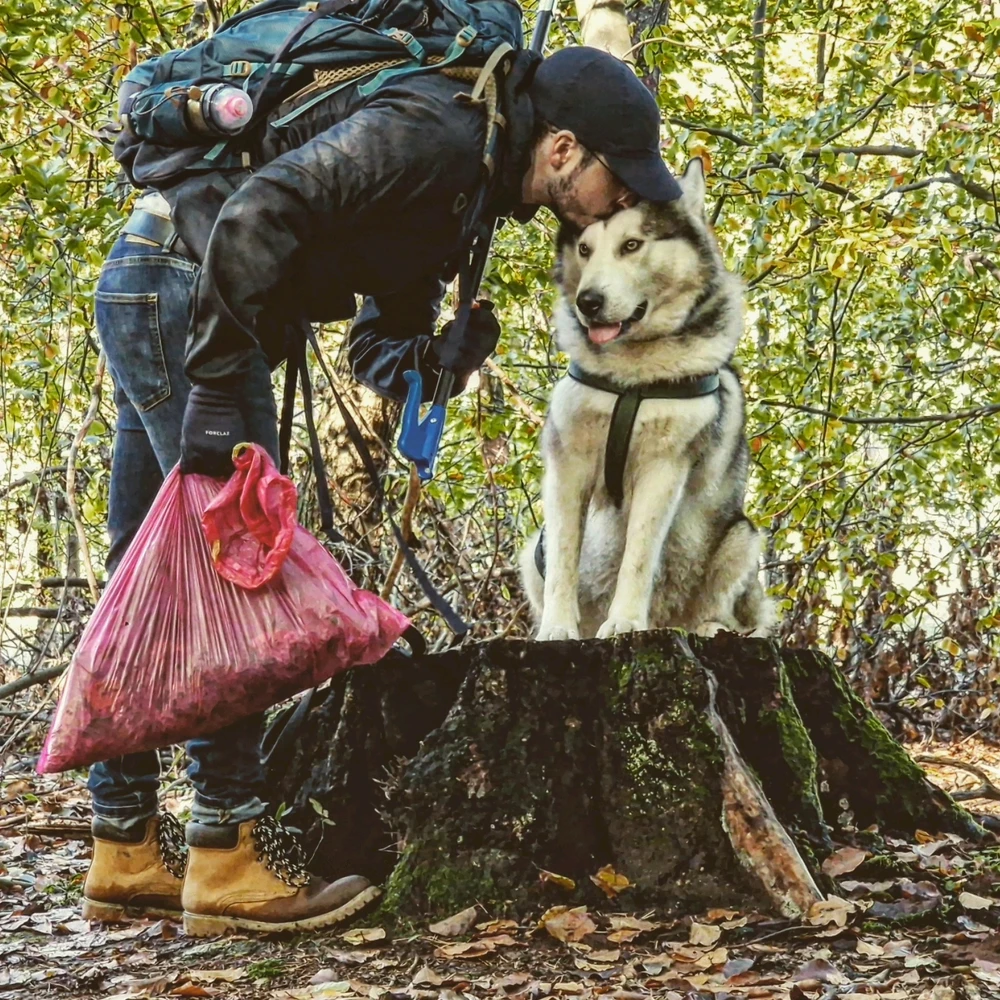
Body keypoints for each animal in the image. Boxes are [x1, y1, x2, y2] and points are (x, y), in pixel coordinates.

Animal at [520, 159, 774, 641]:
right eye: (585, 249)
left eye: (632, 245)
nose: (588, 302)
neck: (631, 380)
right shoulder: (568, 465)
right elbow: (563, 557)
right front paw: (557, 628)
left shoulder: (663, 467)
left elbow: (637, 559)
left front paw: (625, 622)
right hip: (530, 549)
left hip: (742, 536)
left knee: (732, 615)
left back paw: (710, 628)